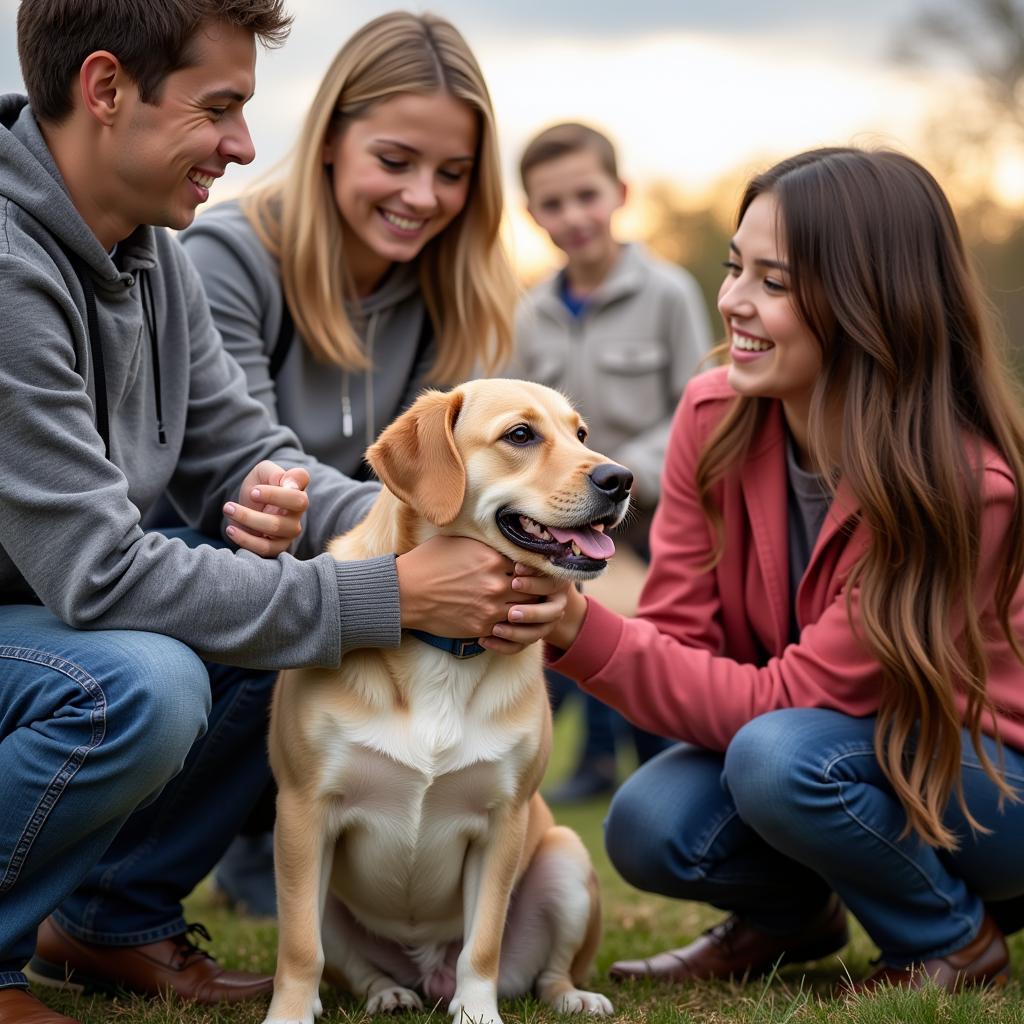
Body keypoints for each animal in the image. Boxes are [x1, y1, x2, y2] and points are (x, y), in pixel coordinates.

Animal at [262, 382, 630, 1024]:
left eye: (580, 434)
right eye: (520, 435)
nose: (622, 478)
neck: (445, 648)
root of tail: (424, 971)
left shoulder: (503, 822)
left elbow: (481, 945)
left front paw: (477, 1011)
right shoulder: (304, 814)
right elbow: (301, 948)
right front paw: (288, 1014)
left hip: (564, 858)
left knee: (548, 972)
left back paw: (571, 997)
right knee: (354, 967)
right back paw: (387, 992)